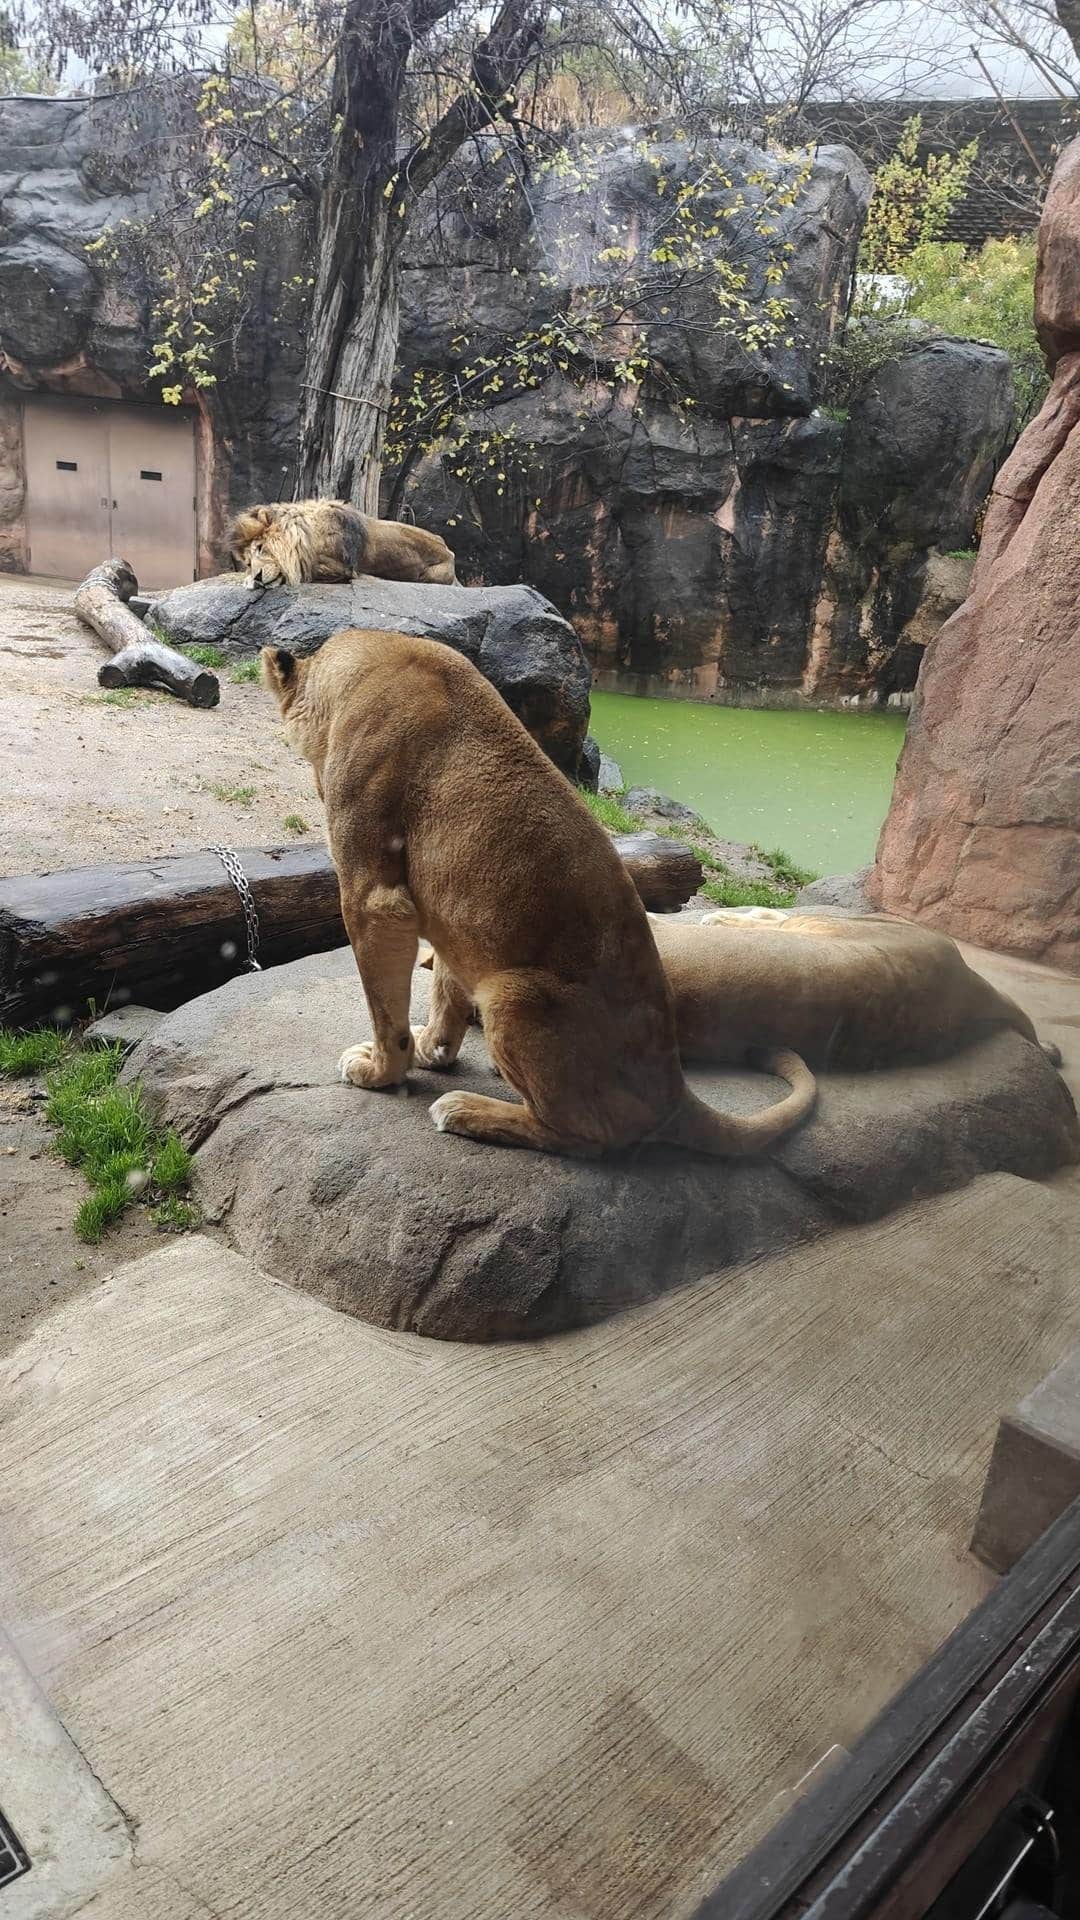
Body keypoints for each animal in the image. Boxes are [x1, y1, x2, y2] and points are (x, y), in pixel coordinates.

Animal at [230, 499, 457, 588]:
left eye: (261, 548)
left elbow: (310, 568)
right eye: (248, 563)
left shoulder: (341, 566)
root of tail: (449, 551)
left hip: (432, 576)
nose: (257, 577)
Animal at [261, 626, 816, 1158]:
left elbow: (384, 1010)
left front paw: (380, 1071)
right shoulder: (454, 916)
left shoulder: (373, 896)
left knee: (586, 1136)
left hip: (512, 994)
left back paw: (464, 1110)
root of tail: (674, 1093)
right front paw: (430, 1048)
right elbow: (444, 989)